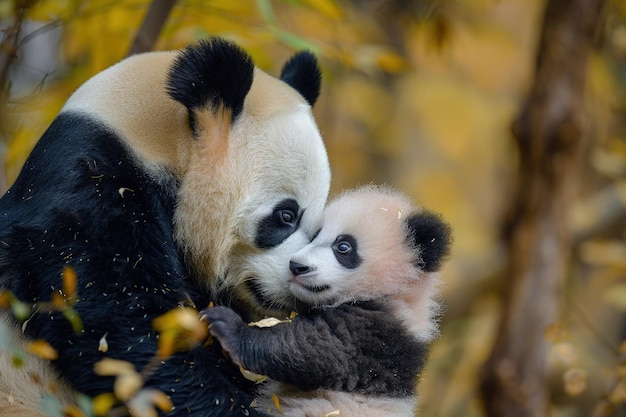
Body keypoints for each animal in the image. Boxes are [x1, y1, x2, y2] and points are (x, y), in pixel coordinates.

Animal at [202, 186, 450, 416]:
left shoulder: (375, 334)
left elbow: (314, 348)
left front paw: (227, 324)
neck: (400, 293)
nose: (297, 266)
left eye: (343, 246)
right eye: (314, 236)